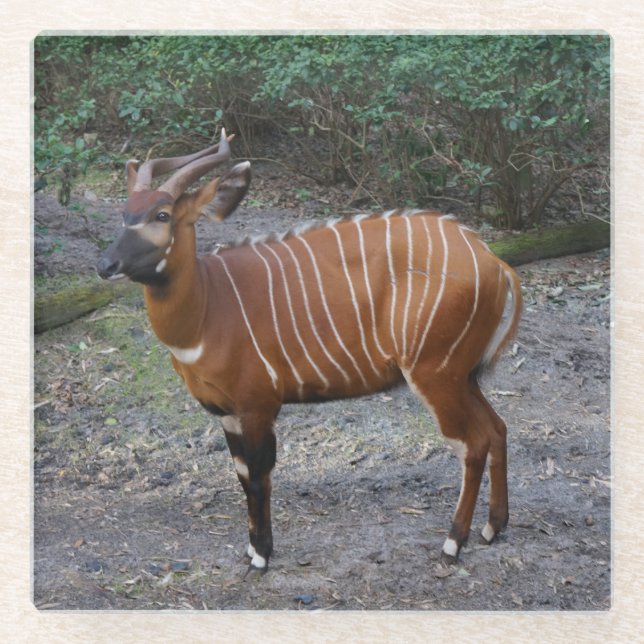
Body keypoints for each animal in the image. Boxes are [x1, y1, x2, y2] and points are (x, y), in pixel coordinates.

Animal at [97, 129, 522, 574]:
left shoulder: (258, 405)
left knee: (472, 443)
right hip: (463, 376)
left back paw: (453, 542)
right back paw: (493, 528)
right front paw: (252, 549)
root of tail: (495, 262)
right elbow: (241, 473)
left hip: (435, 374)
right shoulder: (228, 414)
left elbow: (259, 476)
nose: (105, 264)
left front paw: (261, 555)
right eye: (124, 213)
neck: (209, 306)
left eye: (162, 216)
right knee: (497, 428)